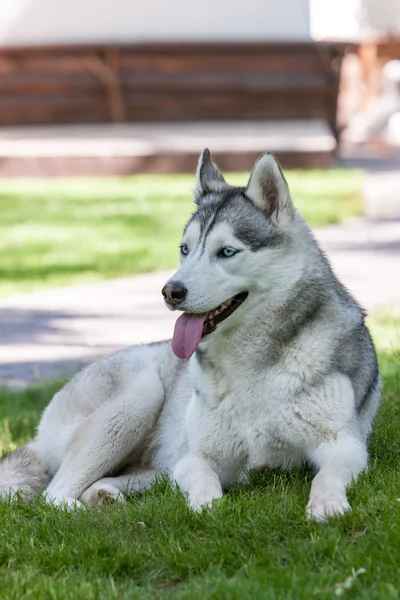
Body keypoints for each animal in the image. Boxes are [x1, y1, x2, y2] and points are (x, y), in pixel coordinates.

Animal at [0, 150, 382, 520]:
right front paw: (209, 510)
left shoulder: (345, 444)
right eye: (185, 249)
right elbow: (204, 486)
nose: (170, 291)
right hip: (140, 396)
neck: (253, 362)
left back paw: (103, 496)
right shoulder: (195, 457)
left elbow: (327, 475)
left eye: (226, 252)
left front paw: (327, 504)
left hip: (150, 452)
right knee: (54, 494)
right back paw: (79, 510)